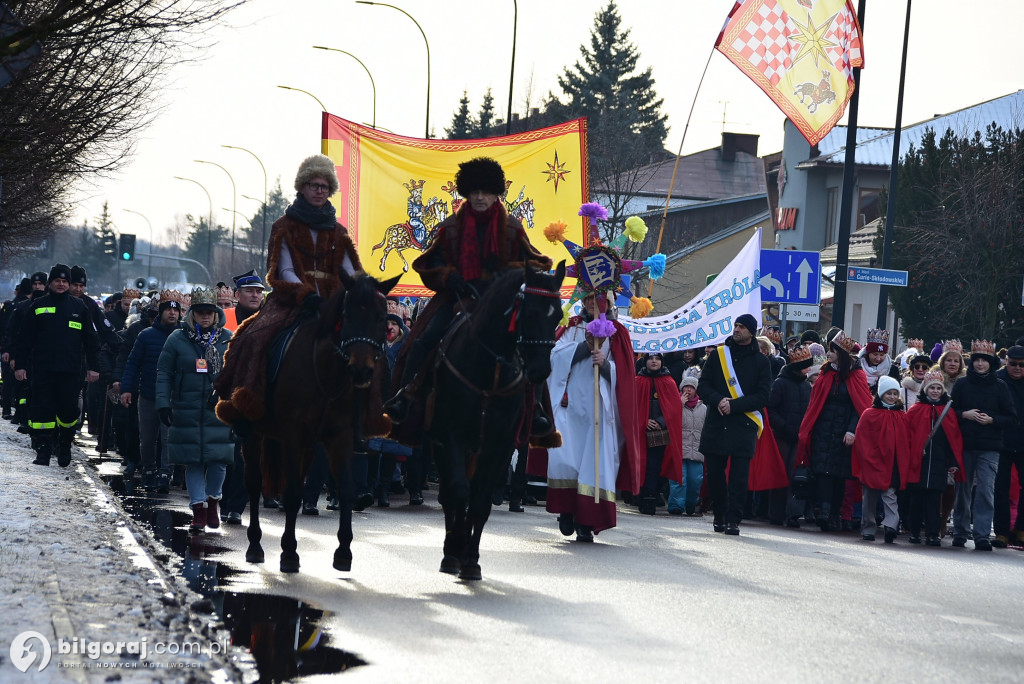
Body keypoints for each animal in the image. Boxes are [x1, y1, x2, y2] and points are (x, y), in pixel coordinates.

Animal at [241, 270, 397, 573]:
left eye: (382, 317)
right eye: (347, 314)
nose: (361, 370)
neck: (326, 374)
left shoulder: (340, 437)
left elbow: (346, 488)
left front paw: (344, 552)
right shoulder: (291, 435)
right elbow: (291, 493)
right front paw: (289, 553)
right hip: (252, 433)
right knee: (254, 484)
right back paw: (254, 545)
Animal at [428, 260, 565, 577]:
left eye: (558, 315)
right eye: (530, 312)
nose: (540, 371)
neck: (489, 371)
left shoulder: (500, 446)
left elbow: (480, 502)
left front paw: (470, 559)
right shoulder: (451, 435)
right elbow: (459, 491)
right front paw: (455, 549)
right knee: (449, 493)